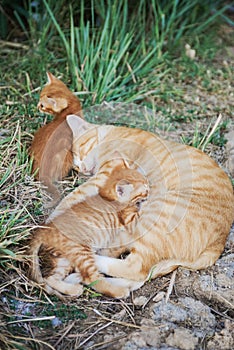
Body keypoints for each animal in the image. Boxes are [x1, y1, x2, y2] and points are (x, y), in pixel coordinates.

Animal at [28, 157, 148, 298]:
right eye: (144, 187)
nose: (149, 187)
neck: (107, 195)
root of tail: (43, 229)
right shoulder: (128, 218)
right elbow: (139, 211)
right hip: (80, 250)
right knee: (90, 278)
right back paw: (119, 291)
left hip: (65, 259)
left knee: (50, 278)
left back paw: (73, 290)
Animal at [47, 116, 234, 286]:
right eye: (76, 167)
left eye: (81, 152)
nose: (84, 169)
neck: (112, 134)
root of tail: (219, 243)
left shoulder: (106, 174)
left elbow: (72, 197)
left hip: (155, 218)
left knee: (136, 268)